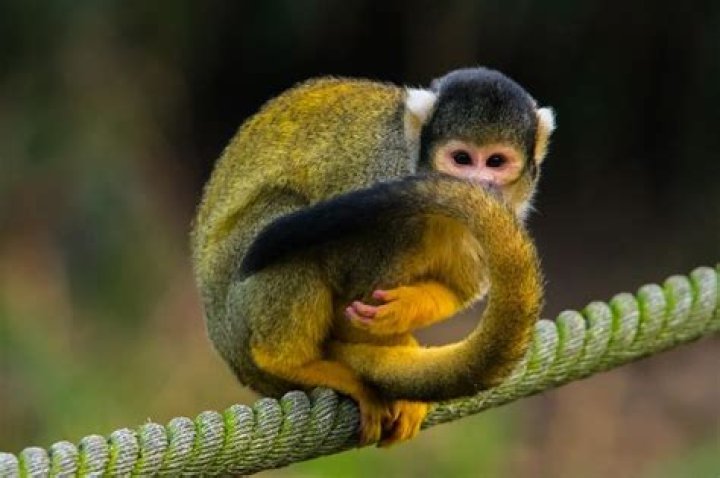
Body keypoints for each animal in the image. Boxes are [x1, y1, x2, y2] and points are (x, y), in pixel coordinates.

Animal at [191, 67, 555, 446]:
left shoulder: (508, 207)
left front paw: (402, 311)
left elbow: (455, 288)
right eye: (462, 159)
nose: (479, 184)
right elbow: (346, 276)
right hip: (235, 311)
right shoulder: (382, 177)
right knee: (284, 221)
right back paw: (287, 361)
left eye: (495, 162)